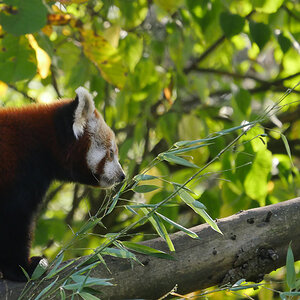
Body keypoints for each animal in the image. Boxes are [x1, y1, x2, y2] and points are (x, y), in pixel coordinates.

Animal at [0, 86, 125, 282]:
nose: (122, 175)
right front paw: (22, 268)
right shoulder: (19, 175)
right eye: (111, 153)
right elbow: (14, 222)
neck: (42, 142)